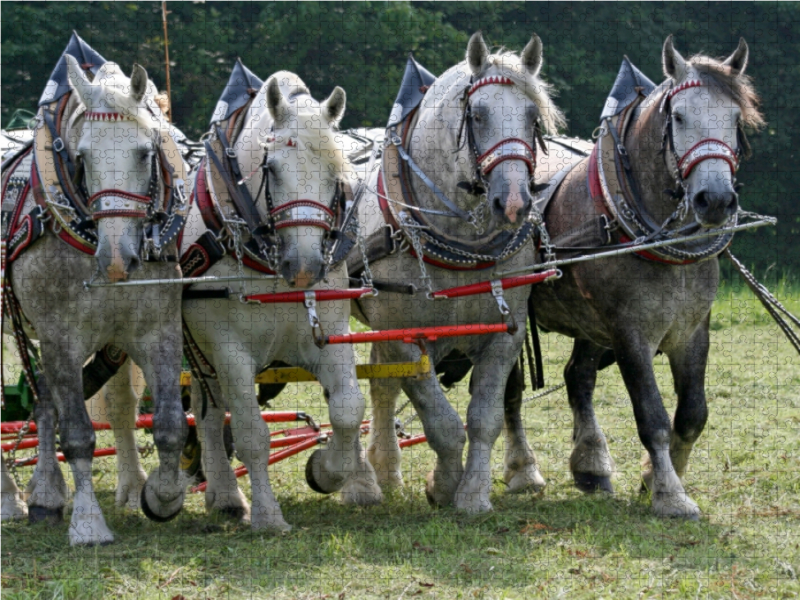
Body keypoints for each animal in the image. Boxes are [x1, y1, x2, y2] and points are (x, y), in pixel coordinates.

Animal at [8, 57, 190, 544]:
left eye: (146, 152)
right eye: (84, 157)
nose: (116, 259)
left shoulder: (157, 330)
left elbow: (169, 424)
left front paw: (163, 496)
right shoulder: (61, 338)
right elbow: (78, 435)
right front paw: (89, 522)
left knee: (44, 401)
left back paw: (46, 494)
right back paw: (14, 497)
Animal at [354, 32, 564, 510]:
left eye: (532, 117)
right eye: (478, 115)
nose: (514, 202)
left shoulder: (505, 335)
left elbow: (484, 416)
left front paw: (472, 494)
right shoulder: (407, 339)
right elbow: (442, 421)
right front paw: (445, 484)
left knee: (381, 385)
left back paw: (385, 469)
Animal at [500, 35, 764, 516]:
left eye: (736, 119)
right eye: (679, 117)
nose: (716, 199)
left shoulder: (692, 330)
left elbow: (693, 414)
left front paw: (656, 476)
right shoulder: (630, 334)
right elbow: (653, 416)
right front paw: (670, 493)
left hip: (589, 323)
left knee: (578, 377)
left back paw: (591, 465)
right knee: (508, 390)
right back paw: (523, 470)